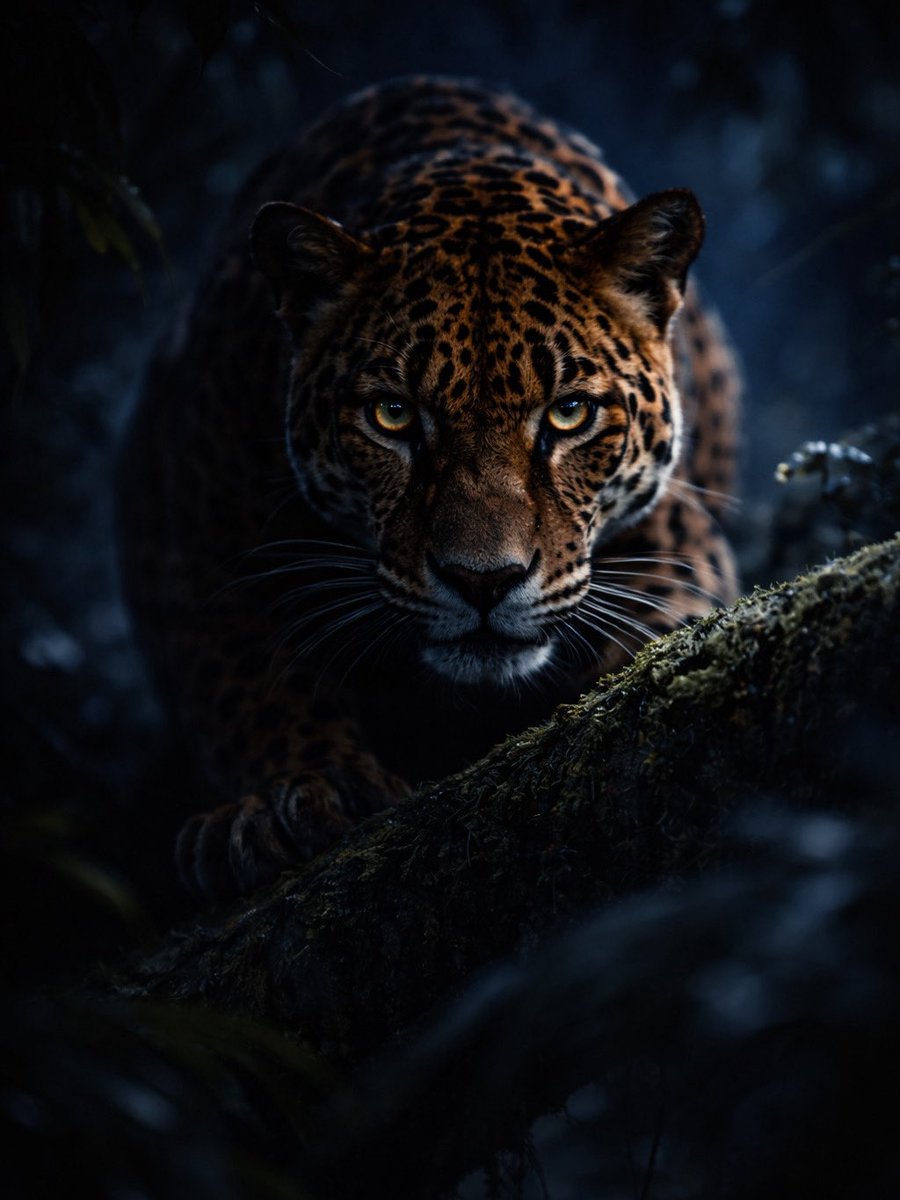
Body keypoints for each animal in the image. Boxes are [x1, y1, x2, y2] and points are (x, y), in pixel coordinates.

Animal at [119, 76, 740, 899]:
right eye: (393, 415)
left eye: (569, 413)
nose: (484, 582)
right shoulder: (199, 546)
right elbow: (250, 681)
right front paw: (297, 794)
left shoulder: (678, 543)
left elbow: (654, 635)